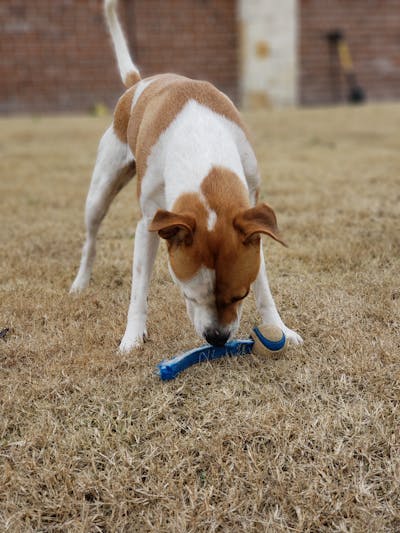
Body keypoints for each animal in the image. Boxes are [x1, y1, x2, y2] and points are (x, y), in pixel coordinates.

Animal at [71, 0, 304, 352]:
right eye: (190, 295)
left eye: (241, 294)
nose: (217, 339)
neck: (202, 148)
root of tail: (138, 82)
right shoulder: (149, 223)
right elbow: (138, 288)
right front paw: (132, 338)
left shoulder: (251, 218)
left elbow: (264, 285)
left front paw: (279, 327)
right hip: (100, 191)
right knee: (91, 239)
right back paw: (81, 282)